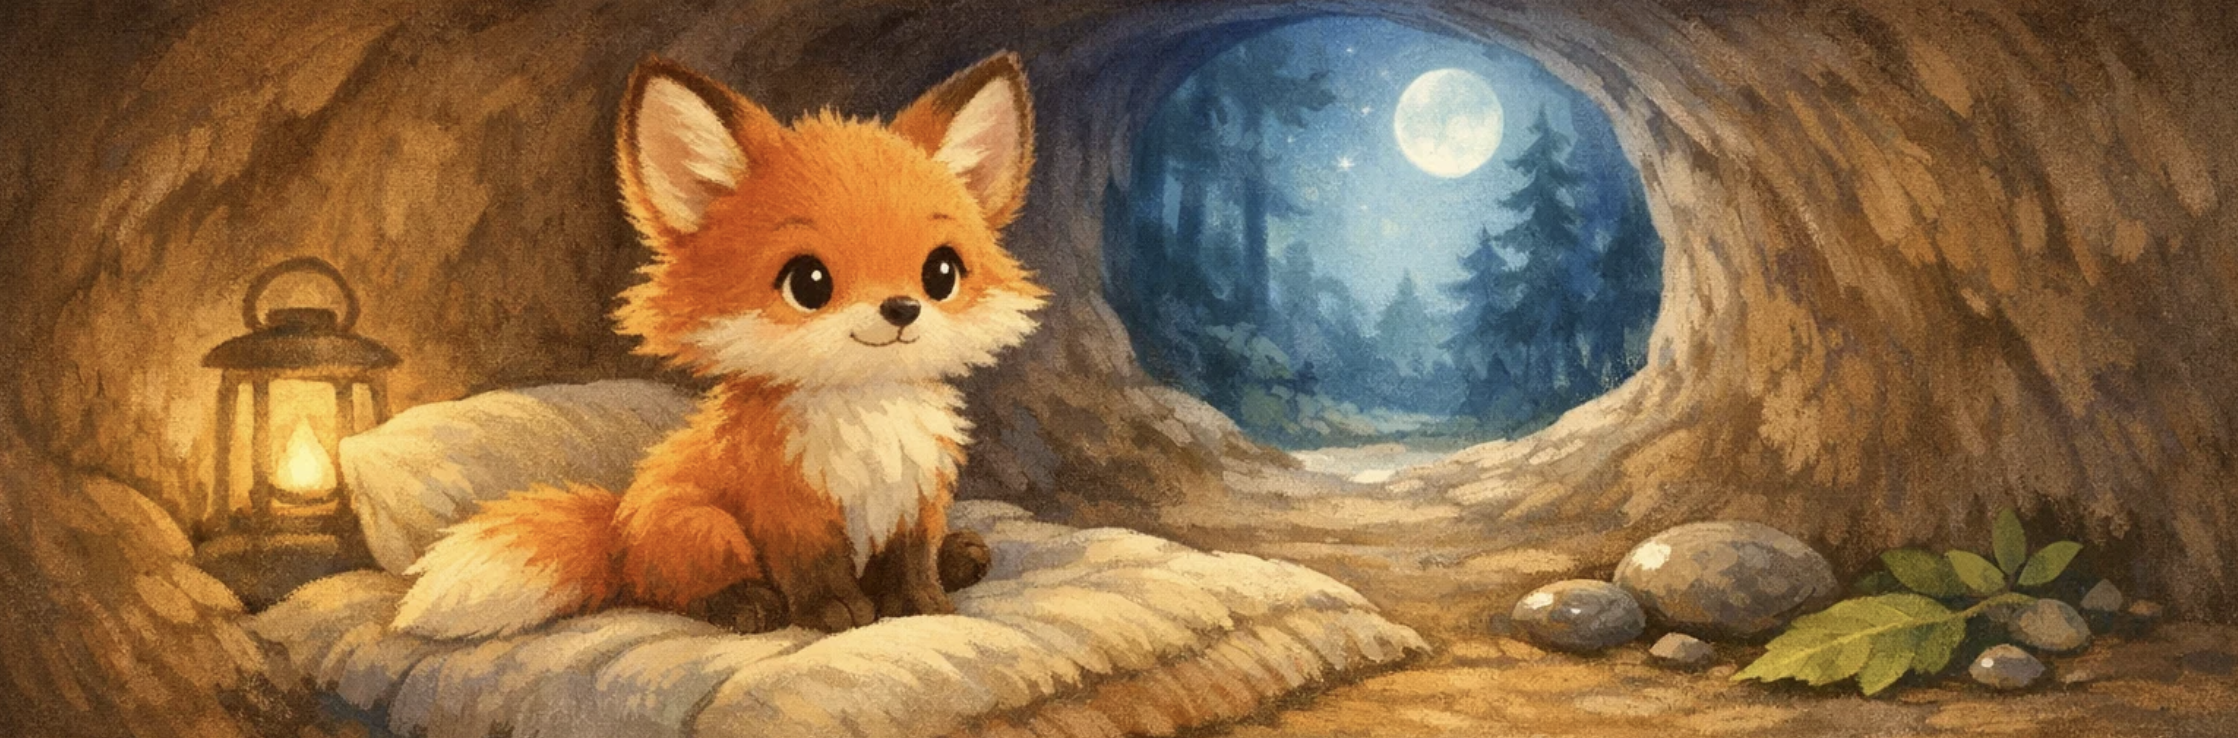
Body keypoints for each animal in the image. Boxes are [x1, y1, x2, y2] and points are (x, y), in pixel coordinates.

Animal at [391, 52, 1047, 639]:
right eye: (809, 283)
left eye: (941, 273)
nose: (902, 309)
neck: (863, 412)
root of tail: (619, 523)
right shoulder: (786, 509)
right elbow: (815, 570)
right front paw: (837, 613)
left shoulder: (916, 495)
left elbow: (910, 562)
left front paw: (920, 605)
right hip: (702, 526)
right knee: (668, 589)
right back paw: (747, 605)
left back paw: (960, 557)